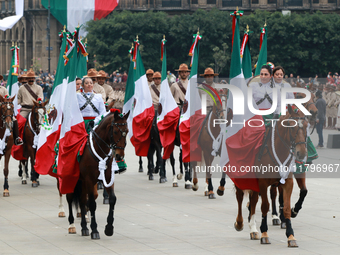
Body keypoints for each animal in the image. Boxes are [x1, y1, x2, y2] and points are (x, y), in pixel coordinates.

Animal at [66, 110, 129, 240]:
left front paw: (109, 228)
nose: (119, 155)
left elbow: (112, 199)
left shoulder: (108, 178)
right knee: (69, 198)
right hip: (69, 178)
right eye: (115, 131)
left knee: (82, 200)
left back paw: (84, 228)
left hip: (82, 181)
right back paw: (71, 225)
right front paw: (95, 230)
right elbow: (92, 204)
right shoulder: (90, 180)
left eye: (127, 131)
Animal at [234, 104, 308, 248]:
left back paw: (253, 229)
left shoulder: (287, 181)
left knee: (253, 200)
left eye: (307, 125)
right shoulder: (262, 182)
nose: (301, 153)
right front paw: (264, 234)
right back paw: (240, 223)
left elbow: (286, 206)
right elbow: (265, 206)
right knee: (240, 197)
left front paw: (291, 235)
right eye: (292, 126)